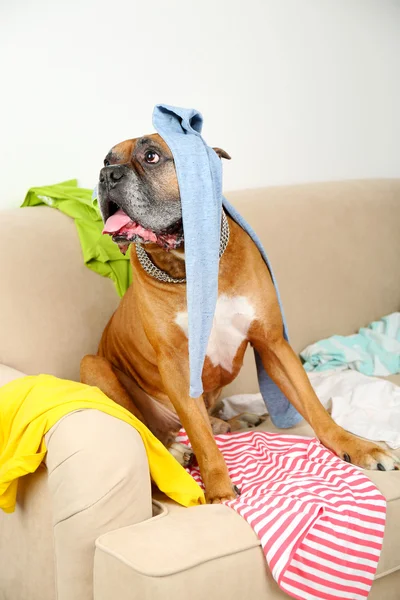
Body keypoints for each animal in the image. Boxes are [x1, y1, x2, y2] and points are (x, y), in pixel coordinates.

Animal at [80, 134, 396, 504]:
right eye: (106, 160)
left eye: (152, 156)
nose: (107, 175)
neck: (191, 263)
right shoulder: (177, 366)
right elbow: (201, 439)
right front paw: (219, 492)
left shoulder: (273, 343)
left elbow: (312, 404)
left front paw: (358, 446)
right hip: (94, 365)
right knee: (153, 430)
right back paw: (176, 449)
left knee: (206, 421)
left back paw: (235, 421)